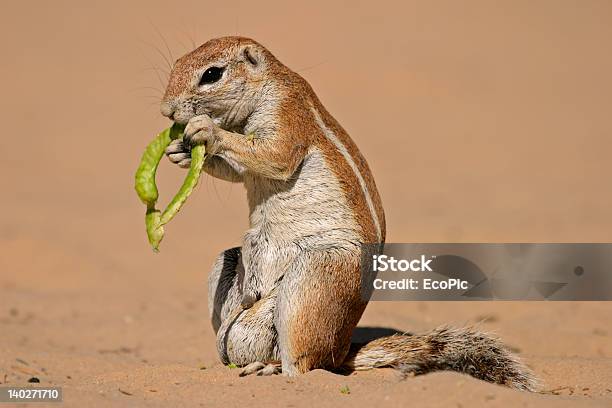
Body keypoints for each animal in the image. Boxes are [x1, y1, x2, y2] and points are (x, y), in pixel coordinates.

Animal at [159, 36, 536, 390]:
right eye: (176, 64)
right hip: (229, 268)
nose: (166, 111)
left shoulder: (287, 118)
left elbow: (273, 156)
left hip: (317, 278)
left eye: (212, 74)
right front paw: (179, 151)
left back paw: (272, 369)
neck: (267, 83)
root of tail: (342, 352)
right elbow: (237, 172)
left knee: (305, 364)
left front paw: (205, 130)